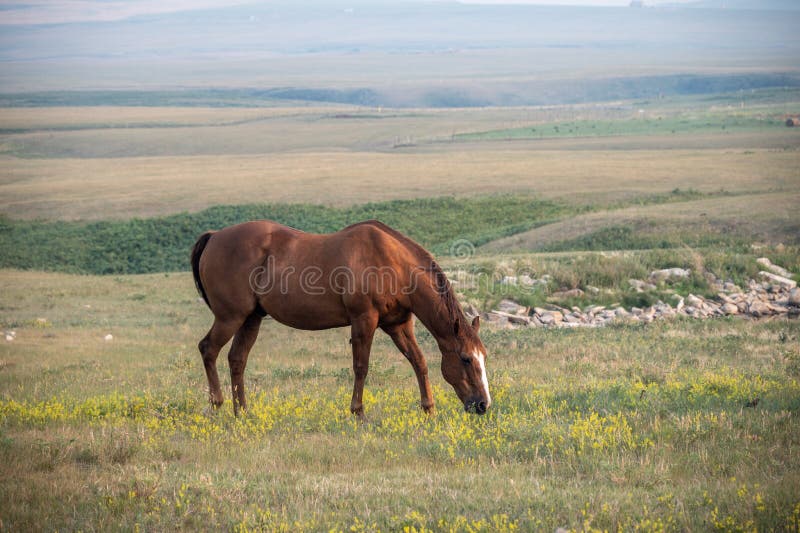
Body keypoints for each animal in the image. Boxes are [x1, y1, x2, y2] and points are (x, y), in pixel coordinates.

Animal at [191, 218, 490, 418]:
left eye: (483, 356)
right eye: (466, 358)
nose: (484, 404)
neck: (392, 263)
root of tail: (214, 236)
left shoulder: (398, 325)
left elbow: (419, 362)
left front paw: (428, 409)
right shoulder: (364, 320)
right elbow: (361, 367)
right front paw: (358, 412)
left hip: (251, 318)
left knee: (236, 359)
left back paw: (242, 412)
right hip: (230, 317)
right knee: (208, 349)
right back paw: (217, 404)